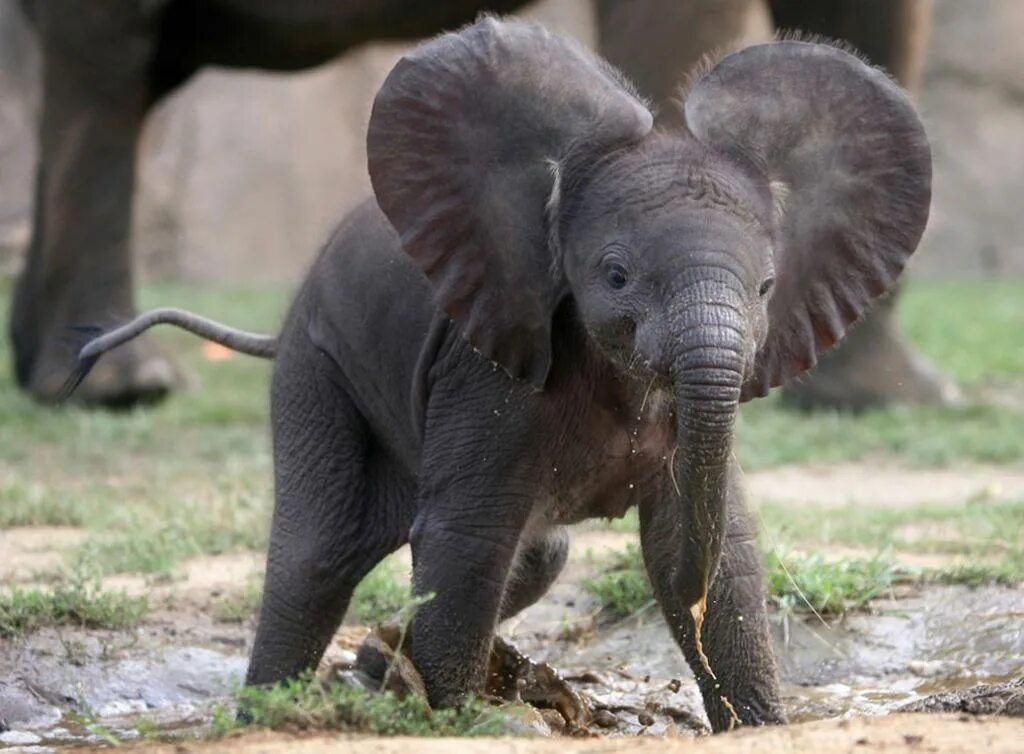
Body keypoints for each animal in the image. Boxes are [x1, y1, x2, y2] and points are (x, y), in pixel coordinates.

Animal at [61, 17, 929, 733]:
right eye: (615, 276)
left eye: (767, 288)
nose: (691, 594)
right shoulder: (488, 364)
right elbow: (465, 539)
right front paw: (459, 720)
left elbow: (719, 543)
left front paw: (759, 725)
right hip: (319, 368)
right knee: (316, 558)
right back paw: (274, 714)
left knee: (541, 556)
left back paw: (376, 665)